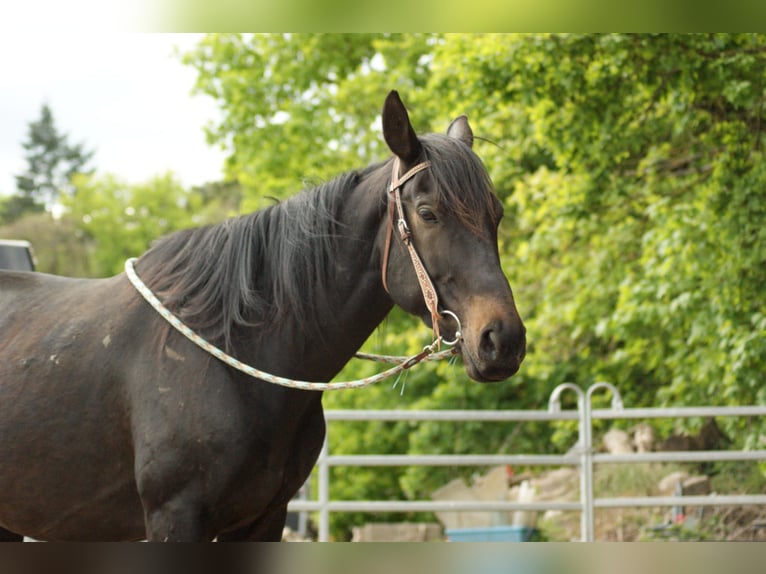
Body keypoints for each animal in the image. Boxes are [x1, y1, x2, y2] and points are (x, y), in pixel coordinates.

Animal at [0, 91, 525, 541]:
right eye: (428, 212)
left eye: (496, 214)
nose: (503, 340)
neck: (236, 352)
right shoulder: (174, 517)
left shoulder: (265, 519)